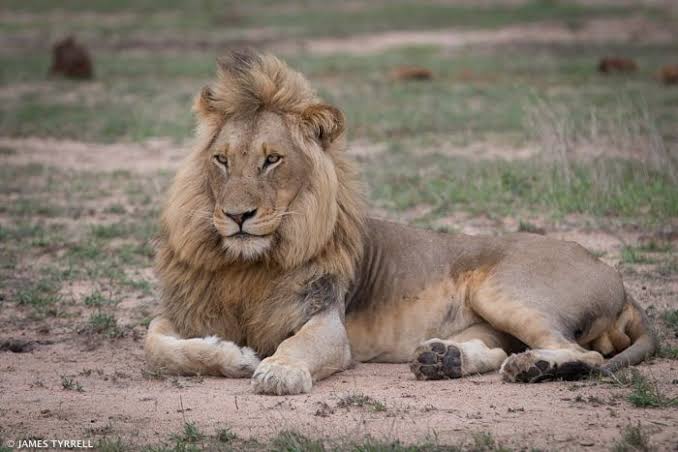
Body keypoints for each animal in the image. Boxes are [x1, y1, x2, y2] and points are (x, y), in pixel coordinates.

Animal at [145, 51, 656, 395]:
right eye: (222, 160)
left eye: (272, 160)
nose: (237, 216)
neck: (247, 264)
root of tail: (614, 274)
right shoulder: (187, 312)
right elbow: (156, 343)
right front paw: (233, 357)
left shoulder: (326, 321)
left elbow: (299, 346)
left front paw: (278, 370)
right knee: (499, 348)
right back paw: (443, 359)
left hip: (505, 291)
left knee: (584, 353)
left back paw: (532, 369)